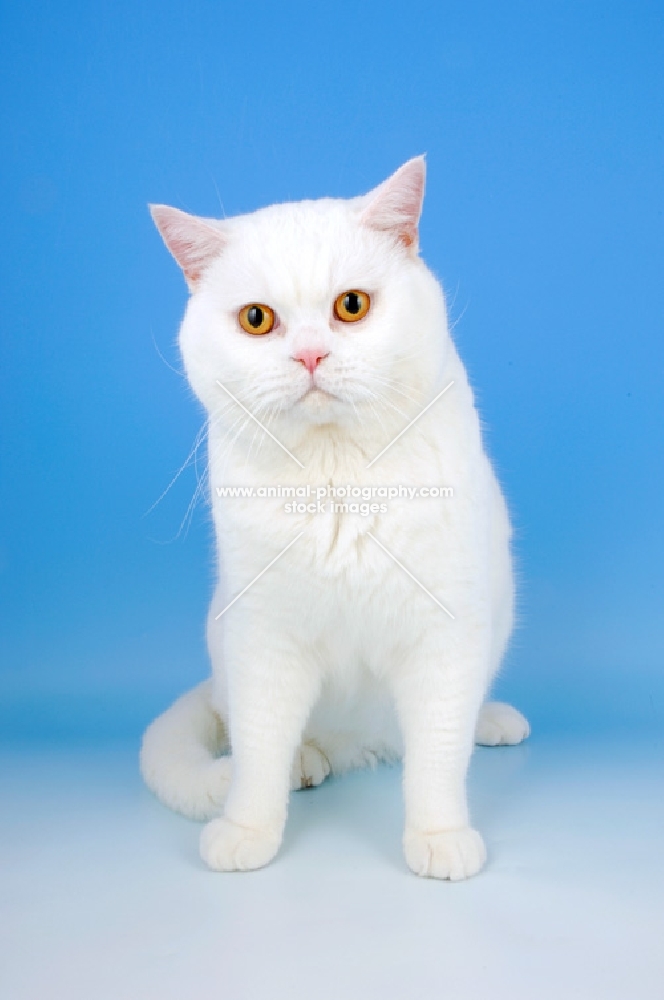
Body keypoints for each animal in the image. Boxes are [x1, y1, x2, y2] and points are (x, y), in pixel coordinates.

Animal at [141, 152, 528, 880]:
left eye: (351, 306)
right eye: (257, 319)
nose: (310, 356)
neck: (337, 482)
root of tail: (366, 745)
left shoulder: (445, 631)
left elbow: (438, 755)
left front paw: (439, 837)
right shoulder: (265, 638)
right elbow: (259, 749)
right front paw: (247, 831)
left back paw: (489, 721)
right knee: (253, 730)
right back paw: (308, 763)